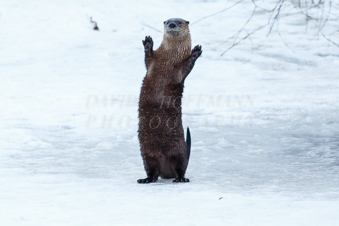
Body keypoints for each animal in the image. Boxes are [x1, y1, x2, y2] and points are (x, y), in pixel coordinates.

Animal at [137, 18, 202, 184]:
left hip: (178, 149)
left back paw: (181, 179)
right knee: (152, 170)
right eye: (167, 21)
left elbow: (187, 66)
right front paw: (148, 43)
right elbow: (147, 59)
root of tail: (166, 171)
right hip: (147, 152)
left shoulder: (179, 70)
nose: (171, 24)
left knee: (180, 167)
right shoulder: (153, 62)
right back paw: (145, 179)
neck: (168, 58)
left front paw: (196, 52)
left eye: (179, 22)